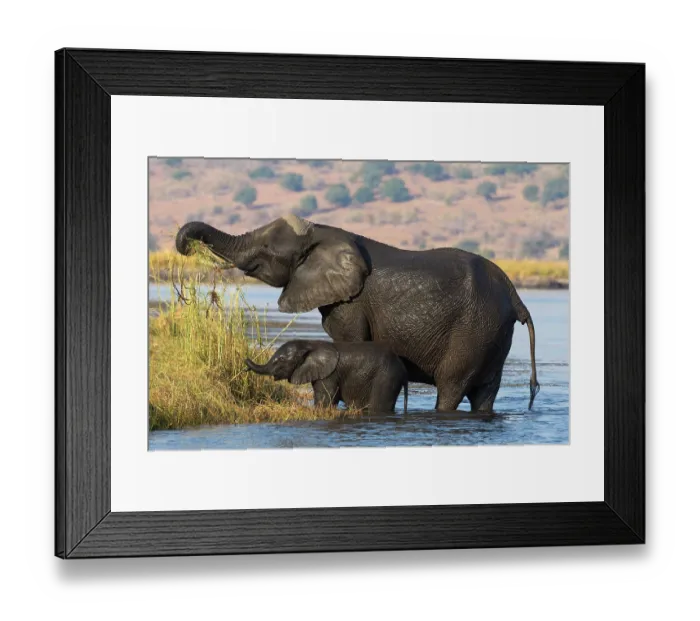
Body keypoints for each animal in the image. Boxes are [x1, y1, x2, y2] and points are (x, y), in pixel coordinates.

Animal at [245, 340, 409, 413]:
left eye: (281, 360)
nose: (245, 361)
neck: (308, 344)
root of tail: (403, 367)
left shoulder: (330, 374)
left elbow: (326, 397)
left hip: (386, 378)